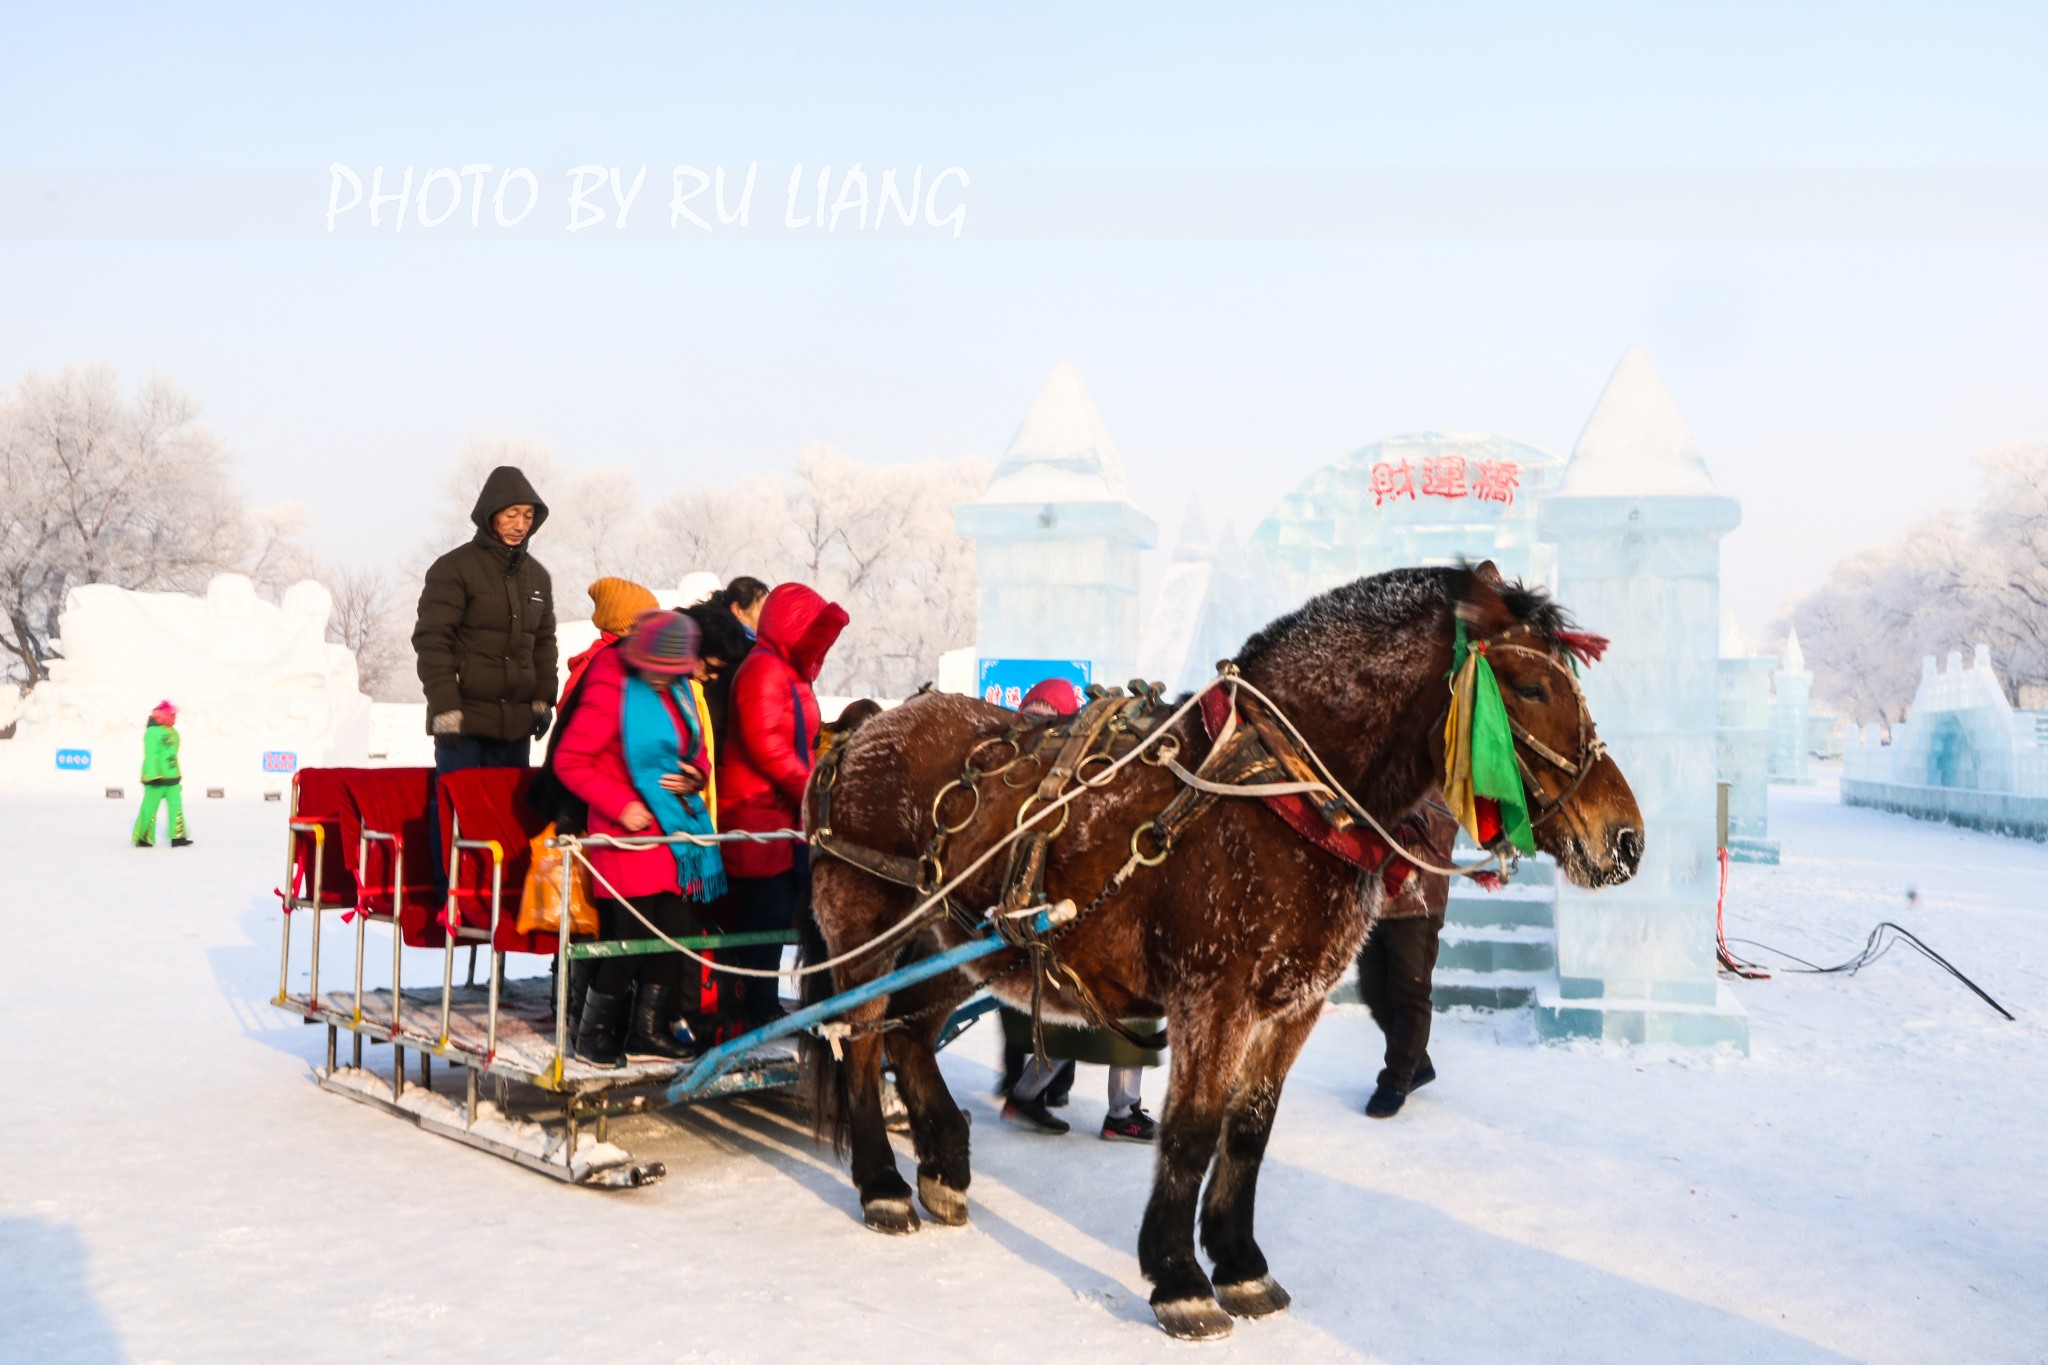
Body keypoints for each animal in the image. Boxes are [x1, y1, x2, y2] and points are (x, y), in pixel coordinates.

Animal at [798, 560, 1646, 1342]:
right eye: (1530, 687)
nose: (1626, 837)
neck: (1288, 794)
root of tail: (865, 727)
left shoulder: (1294, 1003)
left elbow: (1249, 1129)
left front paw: (1240, 1264)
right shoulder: (1214, 995)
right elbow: (1194, 1128)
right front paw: (1179, 1277)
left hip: (956, 942)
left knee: (910, 1034)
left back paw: (943, 1166)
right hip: (868, 931)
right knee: (860, 1040)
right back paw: (882, 1185)